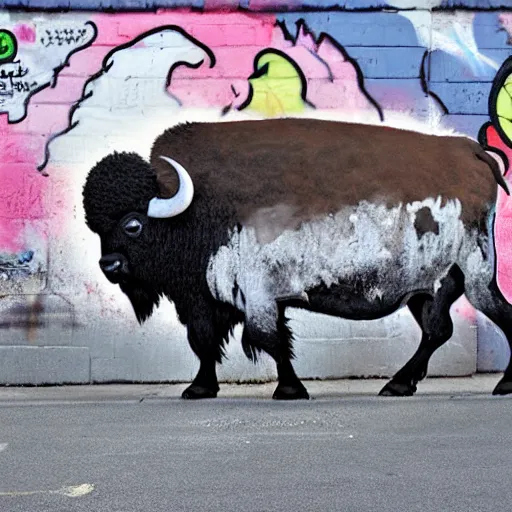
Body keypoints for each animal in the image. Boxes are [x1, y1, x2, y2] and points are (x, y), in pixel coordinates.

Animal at [82, 119, 510, 400]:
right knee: (437, 330)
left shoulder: (257, 297)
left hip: (474, 276)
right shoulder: (203, 302)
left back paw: (499, 385)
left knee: (493, 315)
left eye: (133, 224)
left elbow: (269, 339)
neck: (194, 208)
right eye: (94, 225)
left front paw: (290, 389)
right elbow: (204, 342)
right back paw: (399, 384)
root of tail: (470, 151)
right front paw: (199, 389)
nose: (109, 266)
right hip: (428, 288)